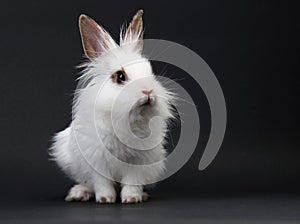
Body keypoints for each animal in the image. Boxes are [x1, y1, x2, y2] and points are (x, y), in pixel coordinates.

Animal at [49, 9, 173, 204]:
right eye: (120, 76)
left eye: (150, 71)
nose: (148, 91)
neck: (126, 119)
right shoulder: (96, 161)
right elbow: (102, 183)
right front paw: (105, 199)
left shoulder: (139, 163)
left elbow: (132, 182)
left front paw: (132, 198)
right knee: (86, 183)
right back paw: (78, 193)